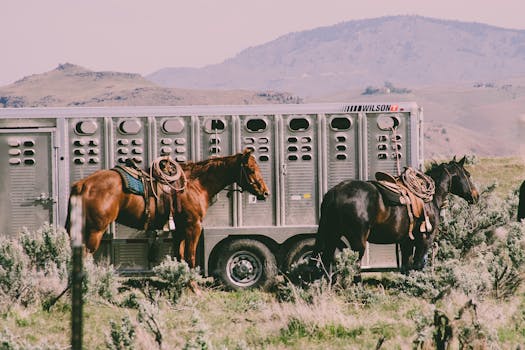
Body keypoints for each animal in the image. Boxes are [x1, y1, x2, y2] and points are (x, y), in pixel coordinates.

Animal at [65, 148, 268, 268]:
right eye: (251, 169)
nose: (265, 192)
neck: (195, 185)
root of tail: (82, 184)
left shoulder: (179, 229)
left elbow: (180, 256)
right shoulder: (194, 226)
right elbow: (190, 257)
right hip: (95, 231)